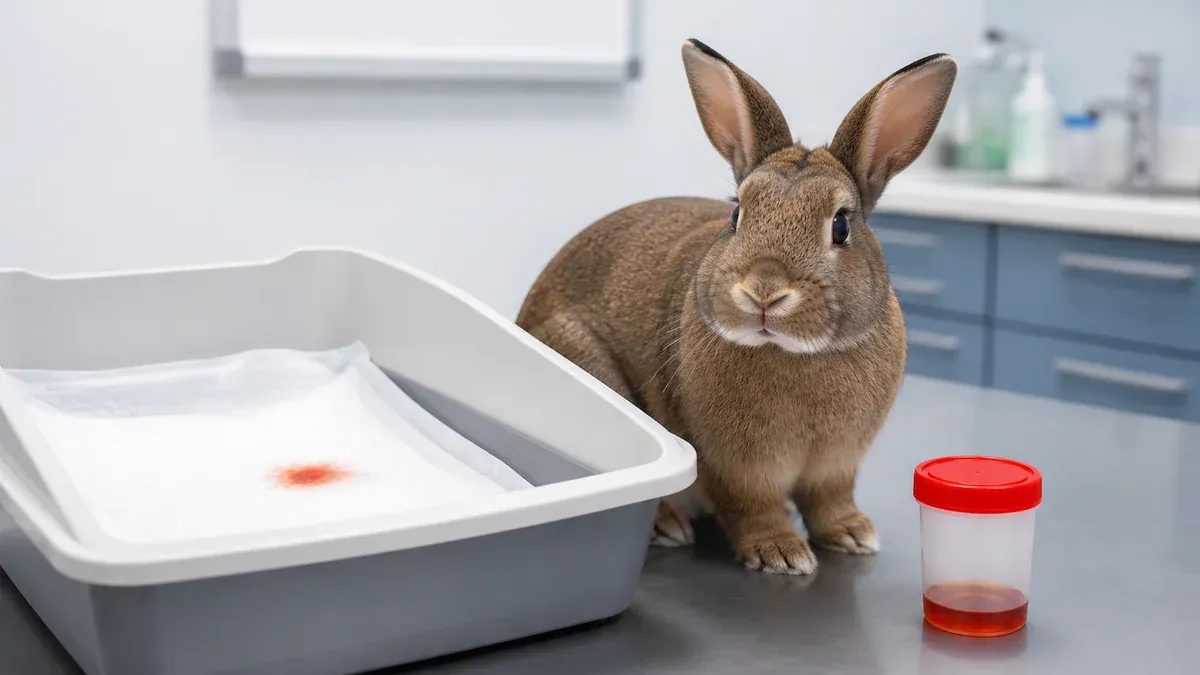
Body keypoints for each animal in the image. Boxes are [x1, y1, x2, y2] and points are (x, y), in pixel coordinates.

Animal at [517, 40, 956, 575]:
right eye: (736, 213)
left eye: (841, 226)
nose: (763, 291)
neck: (793, 354)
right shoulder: (732, 465)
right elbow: (751, 508)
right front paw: (783, 553)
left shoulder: (837, 464)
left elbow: (830, 500)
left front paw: (853, 534)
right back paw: (667, 526)